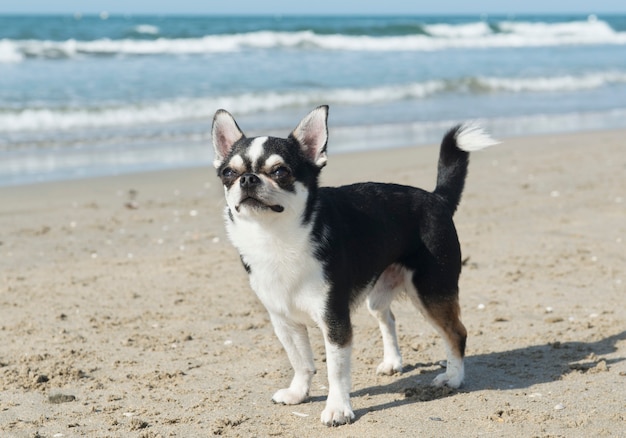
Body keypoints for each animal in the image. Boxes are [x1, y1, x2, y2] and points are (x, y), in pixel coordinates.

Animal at [212, 105, 494, 424]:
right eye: (228, 173)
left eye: (280, 171)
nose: (247, 179)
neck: (275, 237)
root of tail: (437, 198)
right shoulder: (285, 321)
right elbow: (300, 361)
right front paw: (298, 393)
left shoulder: (335, 322)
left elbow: (335, 370)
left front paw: (337, 408)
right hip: (380, 293)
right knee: (389, 317)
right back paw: (393, 362)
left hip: (432, 291)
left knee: (456, 333)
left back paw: (453, 378)